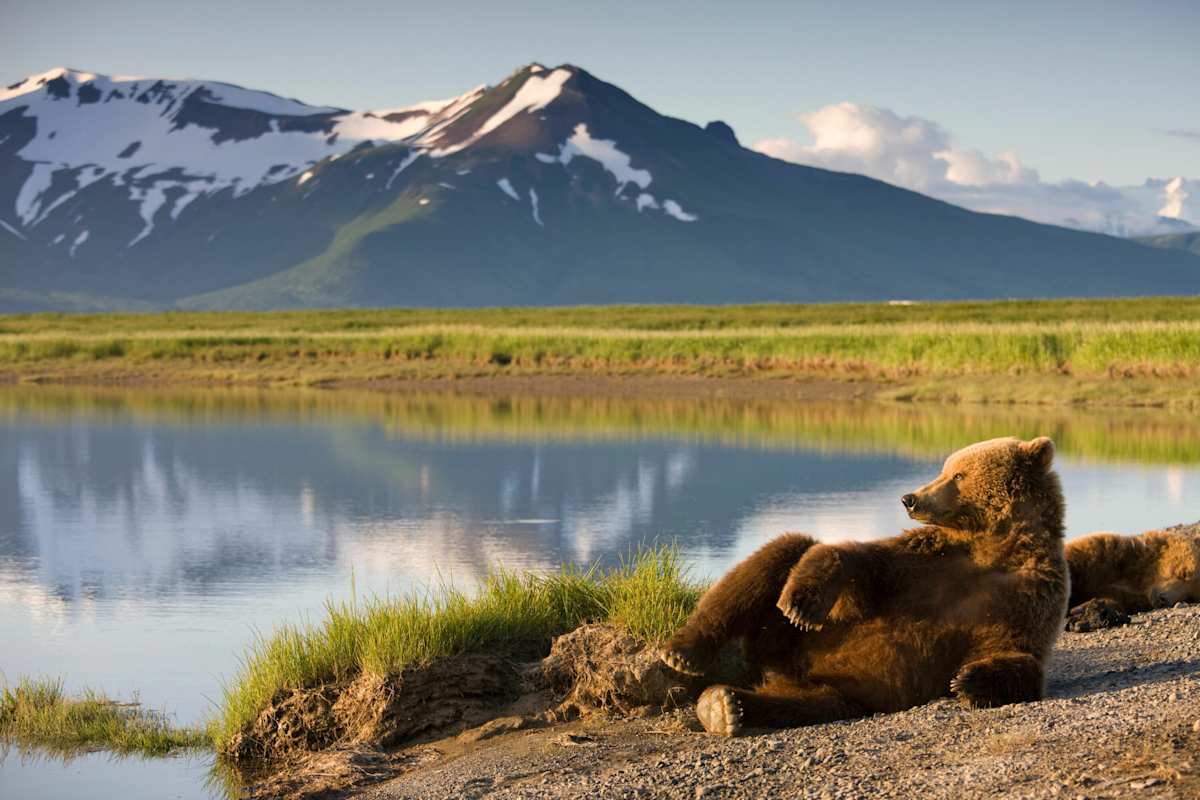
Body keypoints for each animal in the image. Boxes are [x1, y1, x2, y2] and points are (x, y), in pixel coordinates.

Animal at [660, 436, 1068, 736]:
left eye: (958, 475)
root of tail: (780, 670)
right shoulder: (926, 563)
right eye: (945, 468)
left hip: (836, 688)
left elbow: (1017, 652)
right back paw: (684, 654)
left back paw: (724, 706)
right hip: (783, 635)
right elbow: (861, 562)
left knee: (806, 703)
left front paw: (969, 680)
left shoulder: (1026, 594)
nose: (910, 499)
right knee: (782, 551)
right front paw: (801, 603)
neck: (991, 547)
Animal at [1064, 528, 1200, 631]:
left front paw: (1094, 615)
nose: (1163, 600)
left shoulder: (1129, 595)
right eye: (1183, 573)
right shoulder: (1102, 558)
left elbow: (1111, 601)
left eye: (1189, 597)